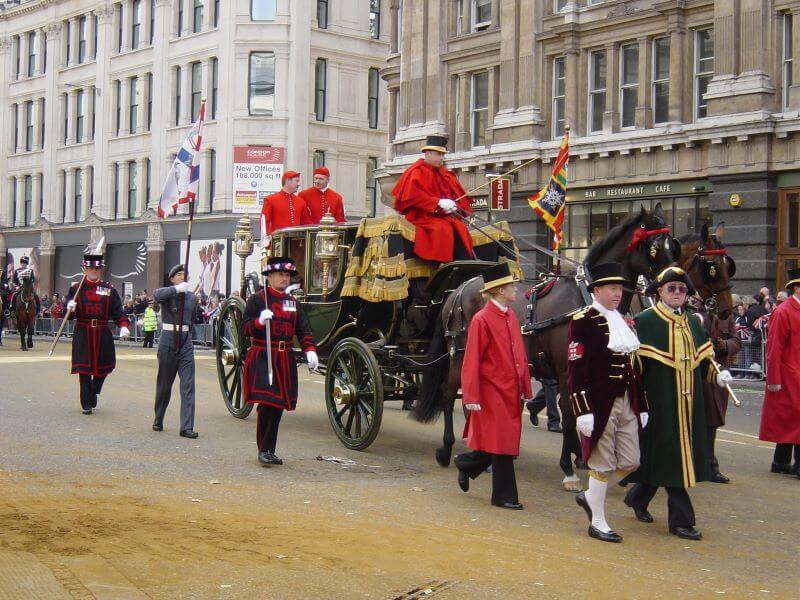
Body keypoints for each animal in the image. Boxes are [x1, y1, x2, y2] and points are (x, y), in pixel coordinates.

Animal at [412, 202, 680, 492]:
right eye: (655, 245)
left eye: (673, 244)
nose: (674, 282)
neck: (588, 299)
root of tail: (459, 288)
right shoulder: (565, 369)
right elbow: (570, 415)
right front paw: (569, 469)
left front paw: (583, 458)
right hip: (460, 355)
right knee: (449, 393)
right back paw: (447, 448)